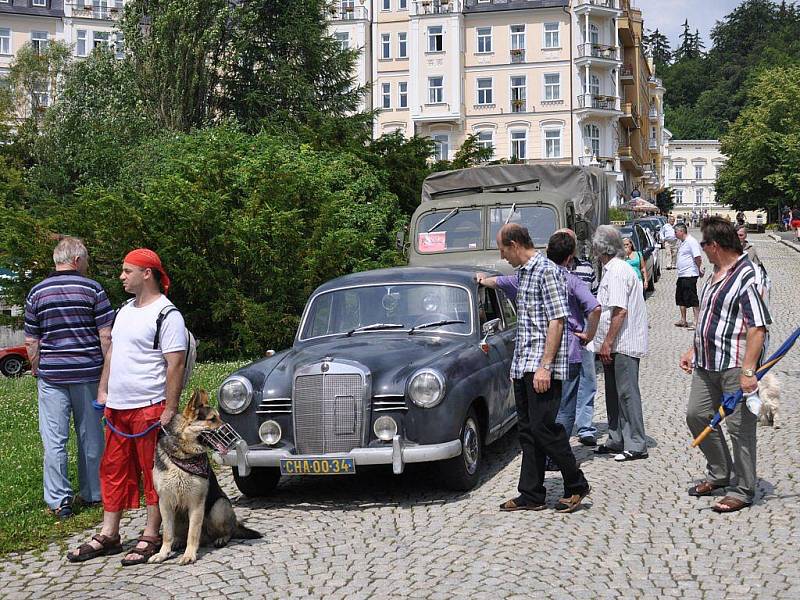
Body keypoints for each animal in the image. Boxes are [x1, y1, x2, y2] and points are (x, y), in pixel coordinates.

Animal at [148, 390, 260, 564]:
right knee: (180, 533)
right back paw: (178, 541)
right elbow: (167, 533)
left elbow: (193, 533)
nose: (233, 435)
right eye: (212, 419)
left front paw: (189, 555)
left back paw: (221, 539)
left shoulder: (196, 503)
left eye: (219, 417)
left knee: (228, 531)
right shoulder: (165, 503)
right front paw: (163, 553)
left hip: (219, 507)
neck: (184, 454)